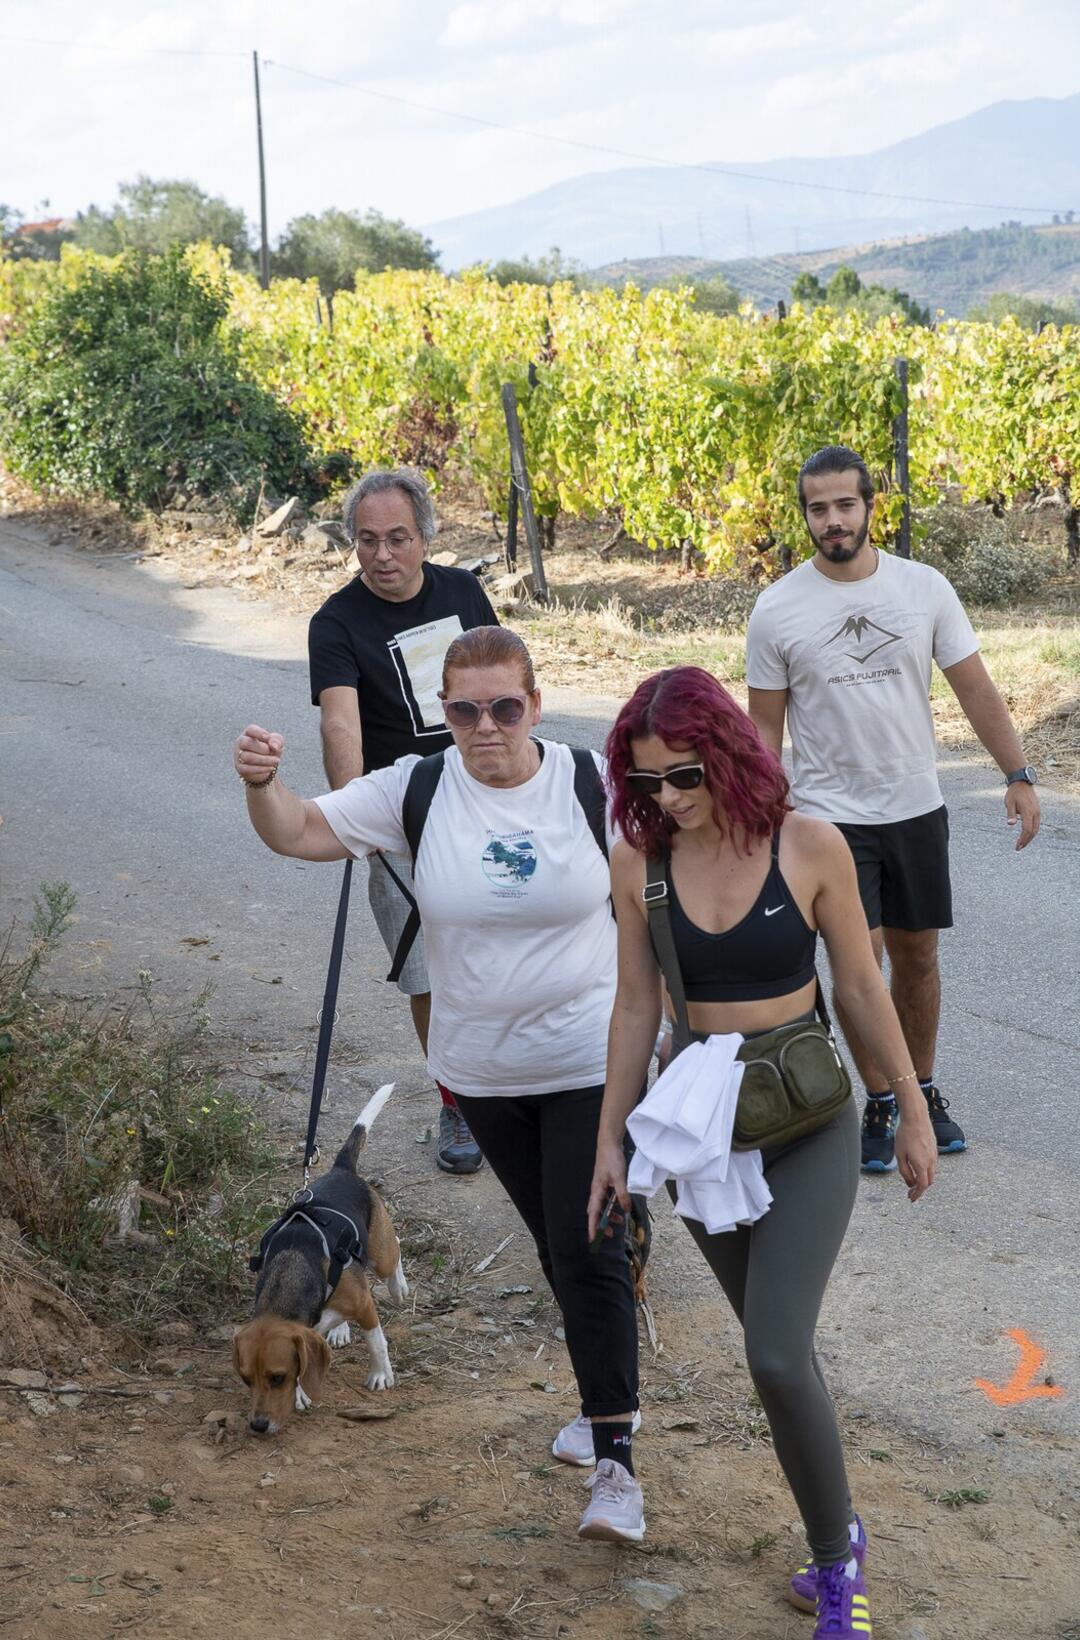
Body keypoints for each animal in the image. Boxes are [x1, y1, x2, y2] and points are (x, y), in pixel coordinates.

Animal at [232, 1085, 408, 1434]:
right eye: (246, 1379)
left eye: (278, 1378)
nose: (257, 1426)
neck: (289, 1278)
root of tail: (342, 1170)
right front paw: (301, 1393)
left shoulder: (365, 1306)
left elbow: (376, 1342)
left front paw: (380, 1374)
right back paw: (339, 1331)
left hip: (380, 1254)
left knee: (393, 1252)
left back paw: (398, 1287)